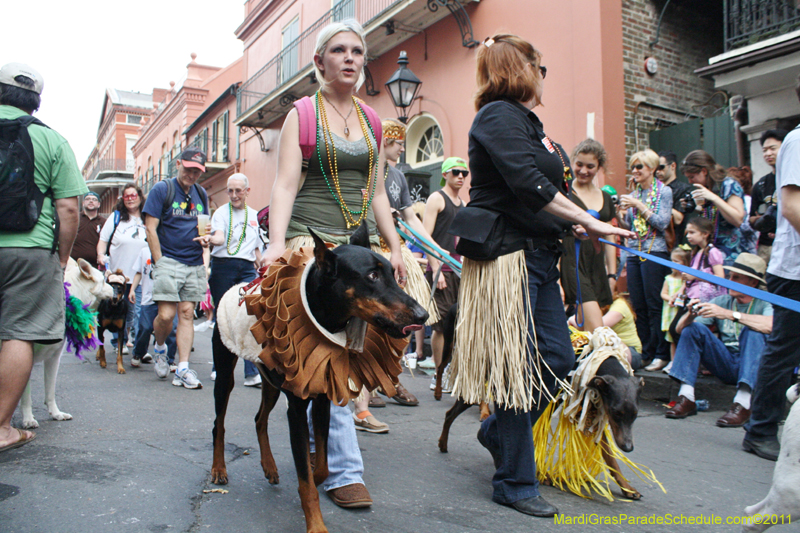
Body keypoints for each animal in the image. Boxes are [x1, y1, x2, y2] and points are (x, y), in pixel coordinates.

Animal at [209, 223, 428, 532]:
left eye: (391, 273)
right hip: (225, 371)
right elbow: (306, 480)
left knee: (259, 419)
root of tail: (234, 291)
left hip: (271, 381)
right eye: (372, 276)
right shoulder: (297, 409)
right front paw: (316, 525)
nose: (423, 316)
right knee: (219, 423)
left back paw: (269, 466)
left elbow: (322, 466)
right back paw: (219, 468)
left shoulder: (323, 396)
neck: (323, 316)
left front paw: (316, 475)